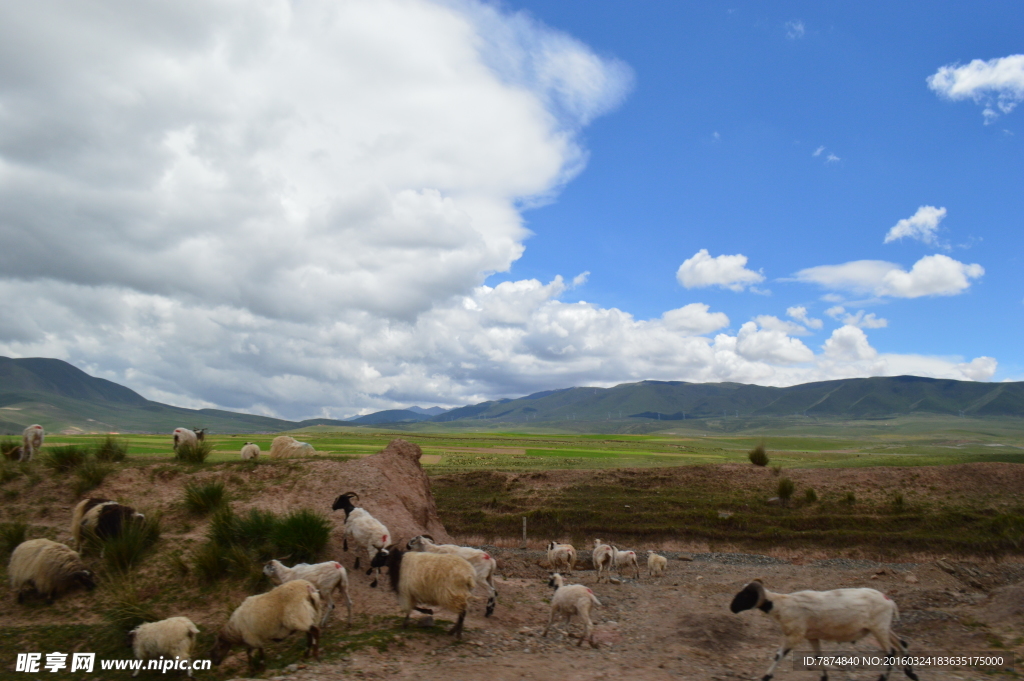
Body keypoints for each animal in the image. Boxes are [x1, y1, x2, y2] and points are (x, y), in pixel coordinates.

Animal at [729, 577, 921, 679]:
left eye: (745, 595)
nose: (732, 608)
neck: (781, 605)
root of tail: (889, 599)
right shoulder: (812, 636)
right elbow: (818, 656)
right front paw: (824, 677)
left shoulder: (795, 635)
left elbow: (778, 655)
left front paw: (766, 676)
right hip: (883, 627)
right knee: (902, 644)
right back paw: (911, 674)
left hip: (879, 628)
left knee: (890, 653)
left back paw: (883, 678)